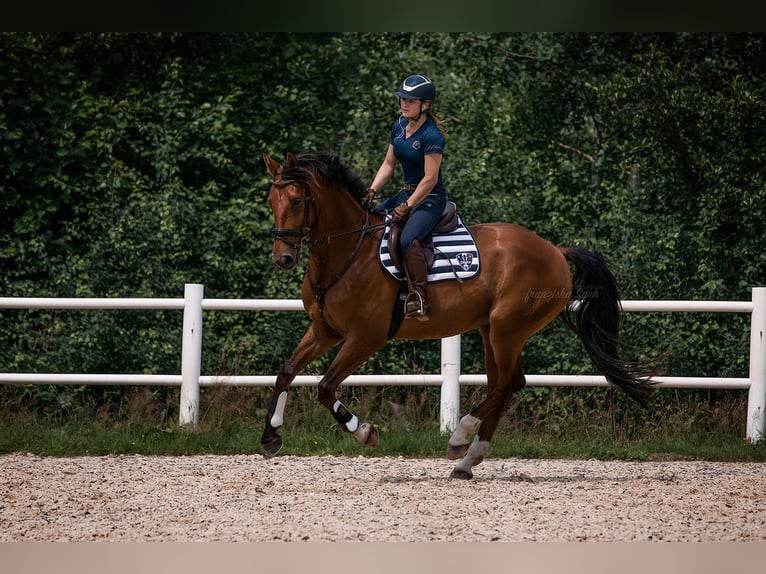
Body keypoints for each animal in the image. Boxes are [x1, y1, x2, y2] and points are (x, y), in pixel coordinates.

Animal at [260, 151, 656, 480]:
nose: (283, 258)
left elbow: (325, 387)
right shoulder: (325, 329)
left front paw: (365, 432)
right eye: (271, 200)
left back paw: (460, 437)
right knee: (503, 384)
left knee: (510, 383)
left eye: (297, 200)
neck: (348, 251)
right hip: (490, 331)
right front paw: (270, 436)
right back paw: (467, 460)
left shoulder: (364, 338)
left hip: (507, 329)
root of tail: (555, 251)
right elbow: (286, 372)